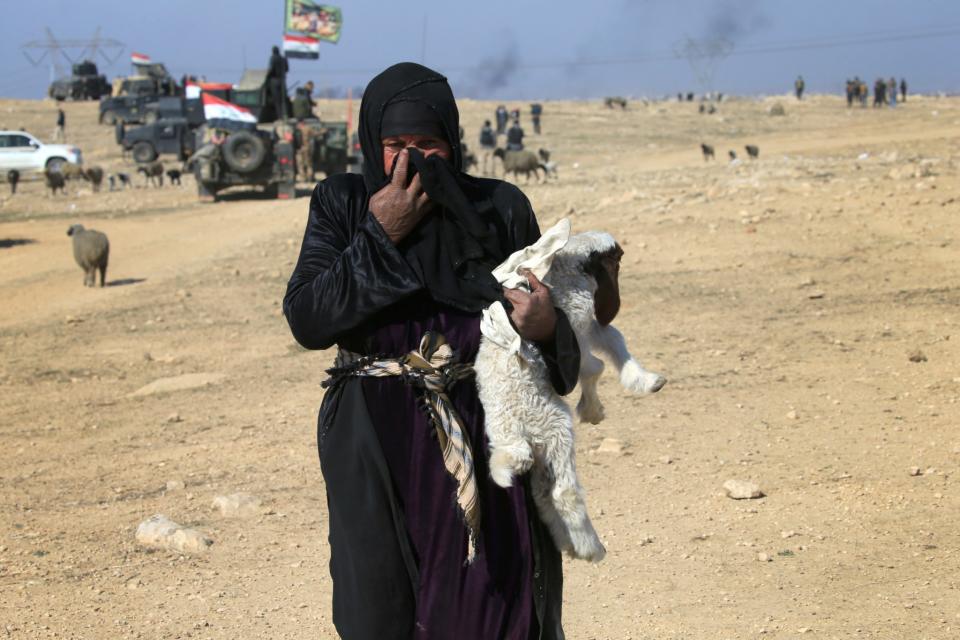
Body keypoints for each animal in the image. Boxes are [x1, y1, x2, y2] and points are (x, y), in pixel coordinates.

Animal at [474, 222, 668, 564]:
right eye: (616, 261)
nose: (614, 300)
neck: (568, 265)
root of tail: (510, 444)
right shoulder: (576, 321)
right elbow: (595, 362)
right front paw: (596, 408)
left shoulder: (584, 323)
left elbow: (610, 341)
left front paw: (641, 383)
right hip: (555, 429)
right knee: (563, 492)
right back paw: (592, 548)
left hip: (540, 450)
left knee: (543, 495)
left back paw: (569, 544)